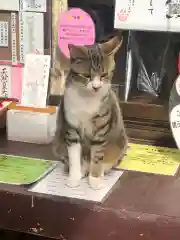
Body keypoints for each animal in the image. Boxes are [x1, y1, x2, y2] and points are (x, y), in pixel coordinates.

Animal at [52, 35, 128, 189]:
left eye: (104, 75)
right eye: (87, 75)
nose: (96, 87)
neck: (87, 98)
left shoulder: (101, 131)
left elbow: (97, 155)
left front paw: (95, 179)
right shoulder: (71, 128)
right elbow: (74, 155)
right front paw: (74, 177)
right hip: (58, 143)